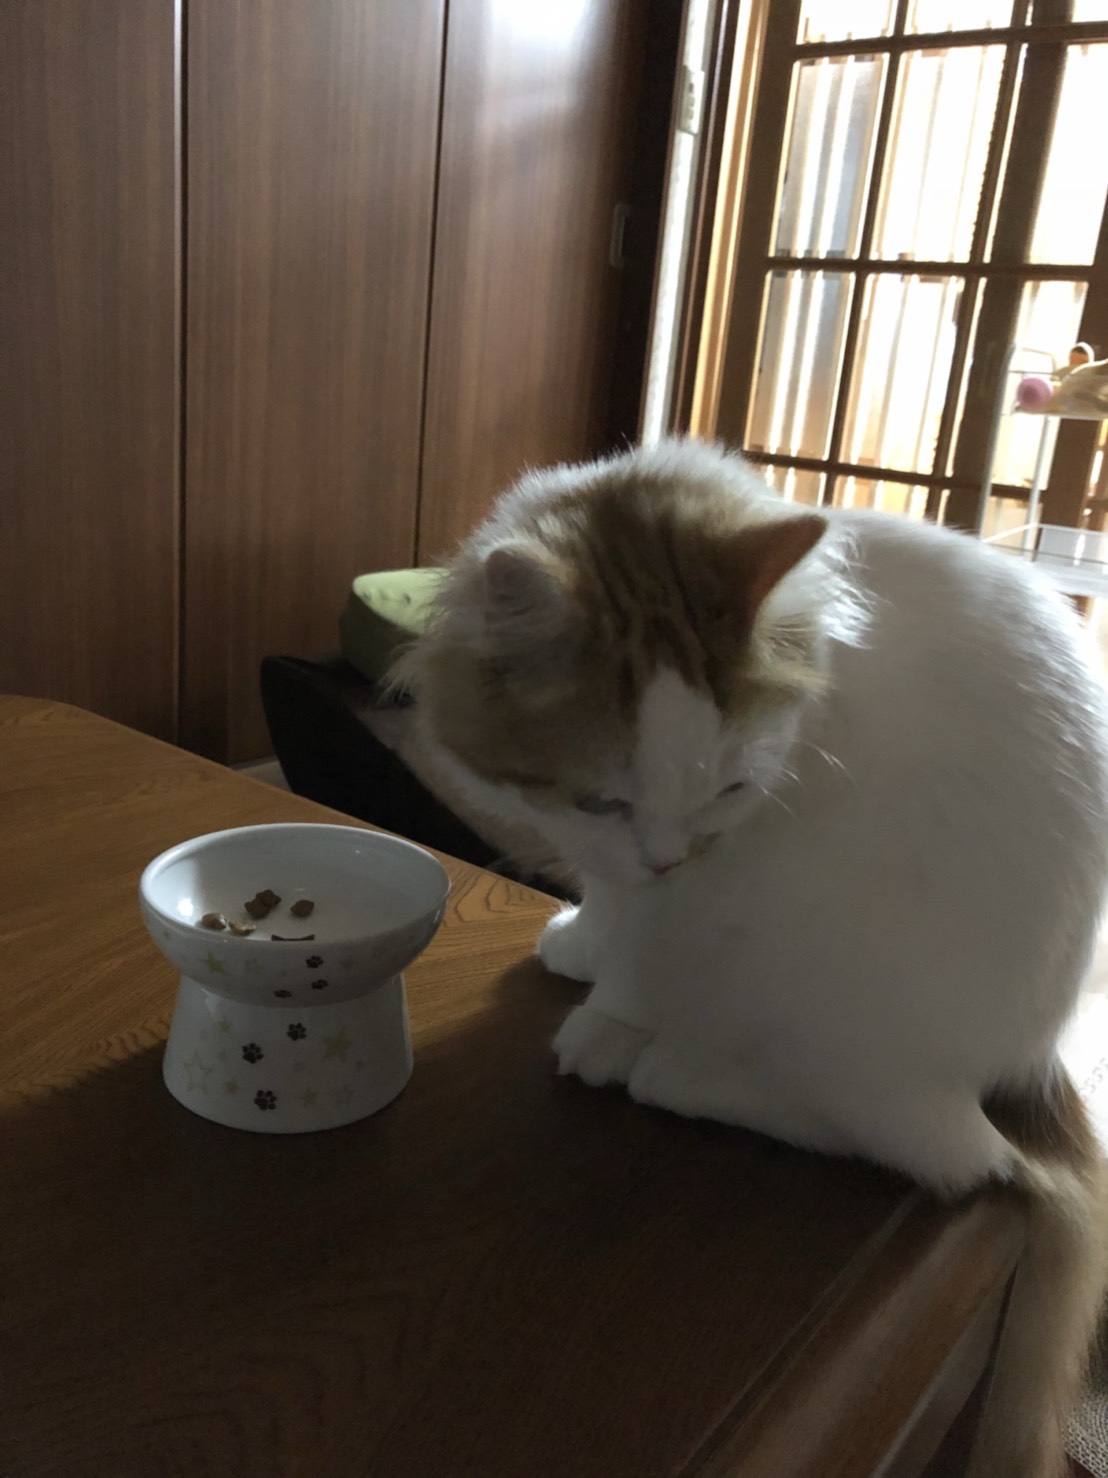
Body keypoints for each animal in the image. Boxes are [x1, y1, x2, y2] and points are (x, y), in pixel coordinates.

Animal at [394, 438, 1108, 1477]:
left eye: (728, 791)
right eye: (601, 799)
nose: (669, 855)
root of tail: (1028, 1067)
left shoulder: (700, 891)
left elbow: (635, 961)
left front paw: (604, 1018)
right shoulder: (615, 859)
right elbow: (606, 896)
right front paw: (578, 943)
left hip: (837, 1019)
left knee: (941, 1153)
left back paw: (673, 1070)